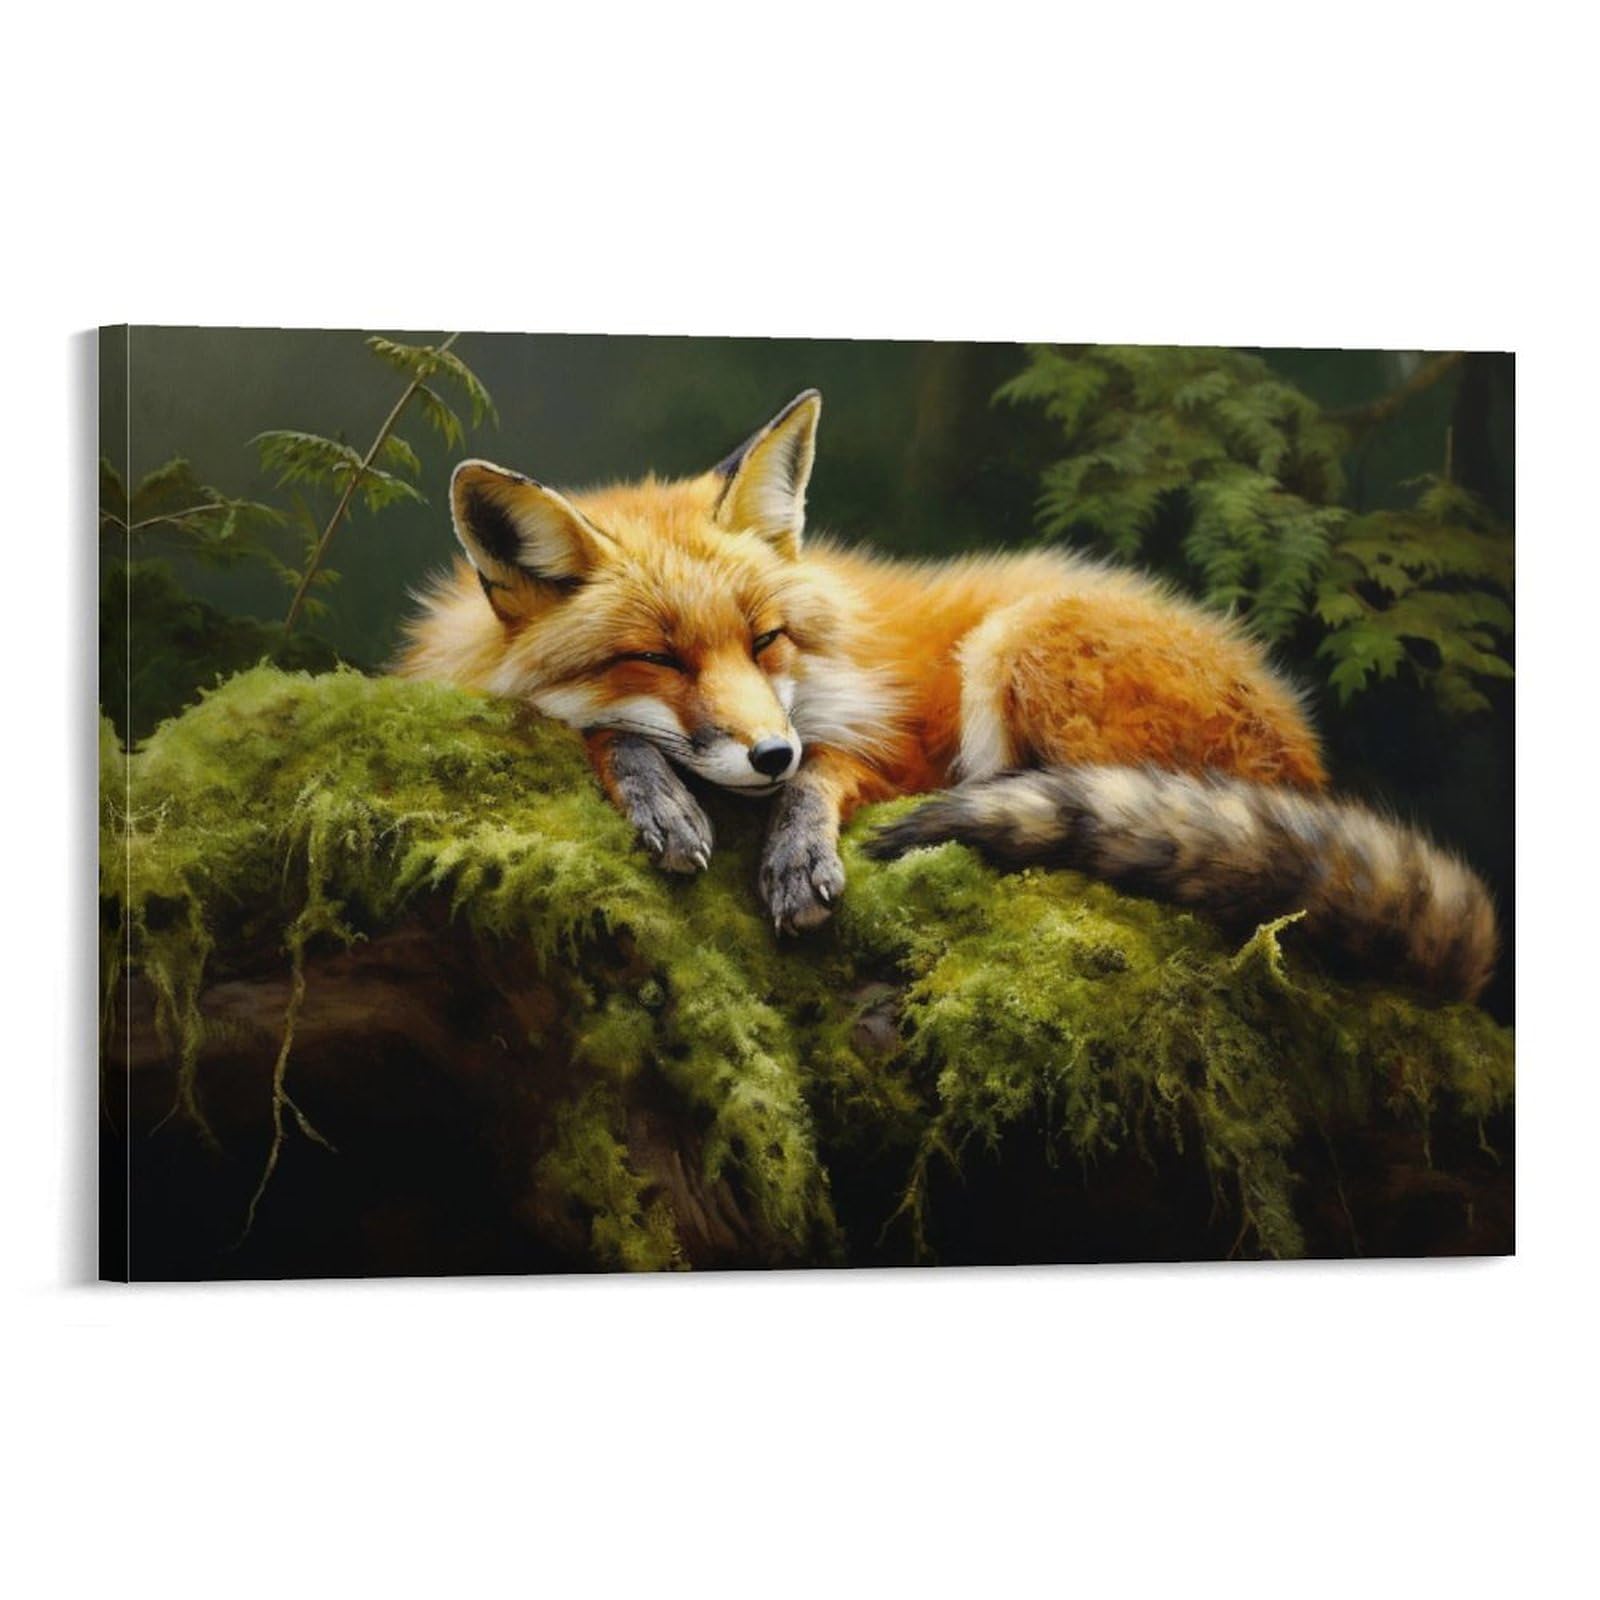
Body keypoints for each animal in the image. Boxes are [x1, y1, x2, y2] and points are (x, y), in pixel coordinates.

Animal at [397, 389, 1498, 1002]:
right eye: (658, 658)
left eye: (765, 639)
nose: (767, 753)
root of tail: (1307, 764)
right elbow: (610, 735)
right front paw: (657, 790)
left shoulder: (902, 743)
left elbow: (829, 777)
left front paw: (797, 849)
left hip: (1021, 642)